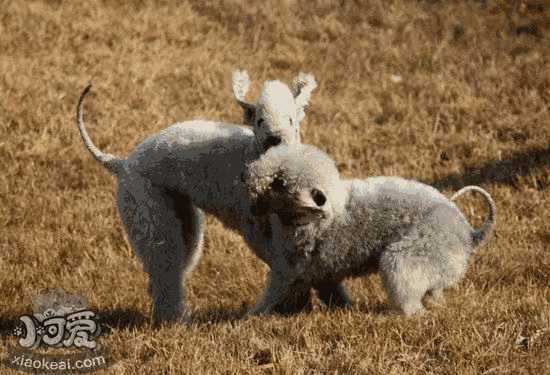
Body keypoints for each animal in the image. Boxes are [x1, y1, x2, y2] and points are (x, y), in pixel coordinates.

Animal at [244, 145, 498, 316]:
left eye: (279, 182)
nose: (245, 177)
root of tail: (468, 231)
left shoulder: (289, 268)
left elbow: (273, 293)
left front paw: (251, 318)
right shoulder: (322, 271)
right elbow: (331, 290)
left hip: (408, 256)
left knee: (410, 296)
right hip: (436, 266)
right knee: (434, 293)